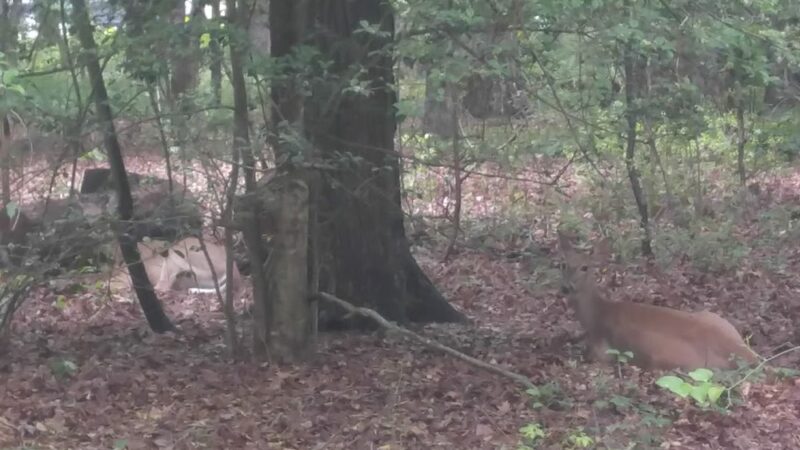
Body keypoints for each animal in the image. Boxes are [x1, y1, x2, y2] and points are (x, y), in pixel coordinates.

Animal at [557, 231, 759, 371]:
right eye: (563, 264)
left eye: (585, 267)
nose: (565, 287)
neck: (596, 315)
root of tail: (747, 355)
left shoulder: (604, 354)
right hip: (713, 316)